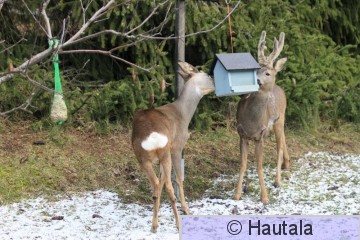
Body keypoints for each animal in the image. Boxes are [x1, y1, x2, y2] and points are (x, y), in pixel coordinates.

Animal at [133, 62, 215, 232]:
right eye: (206, 75)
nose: (215, 84)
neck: (183, 113)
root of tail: (153, 136)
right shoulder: (177, 146)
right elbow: (179, 178)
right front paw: (186, 208)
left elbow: (163, 180)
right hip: (165, 153)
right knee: (168, 187)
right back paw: (177, 223)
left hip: (144, 156)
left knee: (157, 185)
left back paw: (154, 225)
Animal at [235, 31, 292, 204]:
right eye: (255, 71)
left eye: (267, 73)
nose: (258, 81)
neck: (252, 121)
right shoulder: (242, 134)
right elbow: (243, 164)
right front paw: (237, 194)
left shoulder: (259, 136)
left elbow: (259, 165)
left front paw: (265, 197)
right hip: (277, 124)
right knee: (284, 139)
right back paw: (287, 163)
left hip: (280, 119)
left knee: (279, 146)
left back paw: (277, 180)